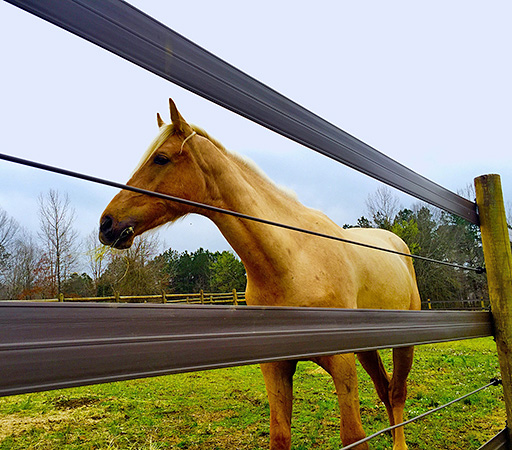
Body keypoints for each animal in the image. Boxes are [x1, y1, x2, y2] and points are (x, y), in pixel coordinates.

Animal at [99, 99, 420, 450]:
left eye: (161, 158)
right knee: (385, 389)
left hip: (402, 344)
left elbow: (354, 436)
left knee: (396, 393)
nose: (107, 223)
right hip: (368, 348)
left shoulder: (342, 362)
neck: (294, 260)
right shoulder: (276, 367)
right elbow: (280, 435)